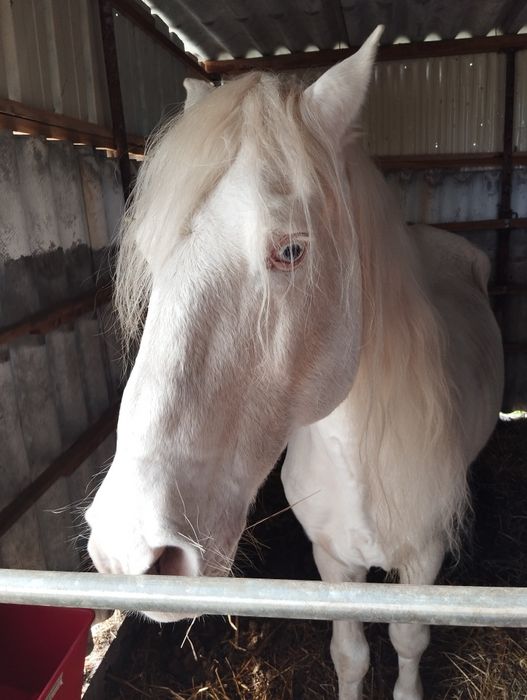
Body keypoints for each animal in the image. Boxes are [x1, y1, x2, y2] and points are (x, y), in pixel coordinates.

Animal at [85, 26, 504, 700]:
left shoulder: (422, 564)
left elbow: (409, 642)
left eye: (290, 251)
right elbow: (350, 655)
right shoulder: (331, 561)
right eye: (148, 251)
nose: (132, 549)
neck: (356, 459)